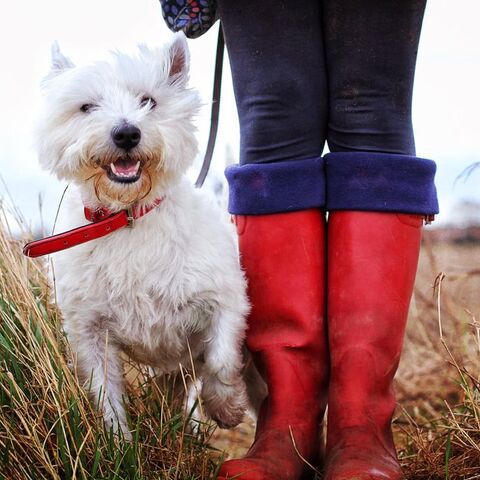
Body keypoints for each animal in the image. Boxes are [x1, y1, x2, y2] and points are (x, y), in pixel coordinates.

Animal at [34, 34, 251, 438]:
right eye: (87, 107)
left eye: (148, 101)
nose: (126, 133)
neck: (128, 217)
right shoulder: (90, 331)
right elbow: (105, 394)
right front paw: (118, 442)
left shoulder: (225, 298)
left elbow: (221, 358)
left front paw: (226, 406)